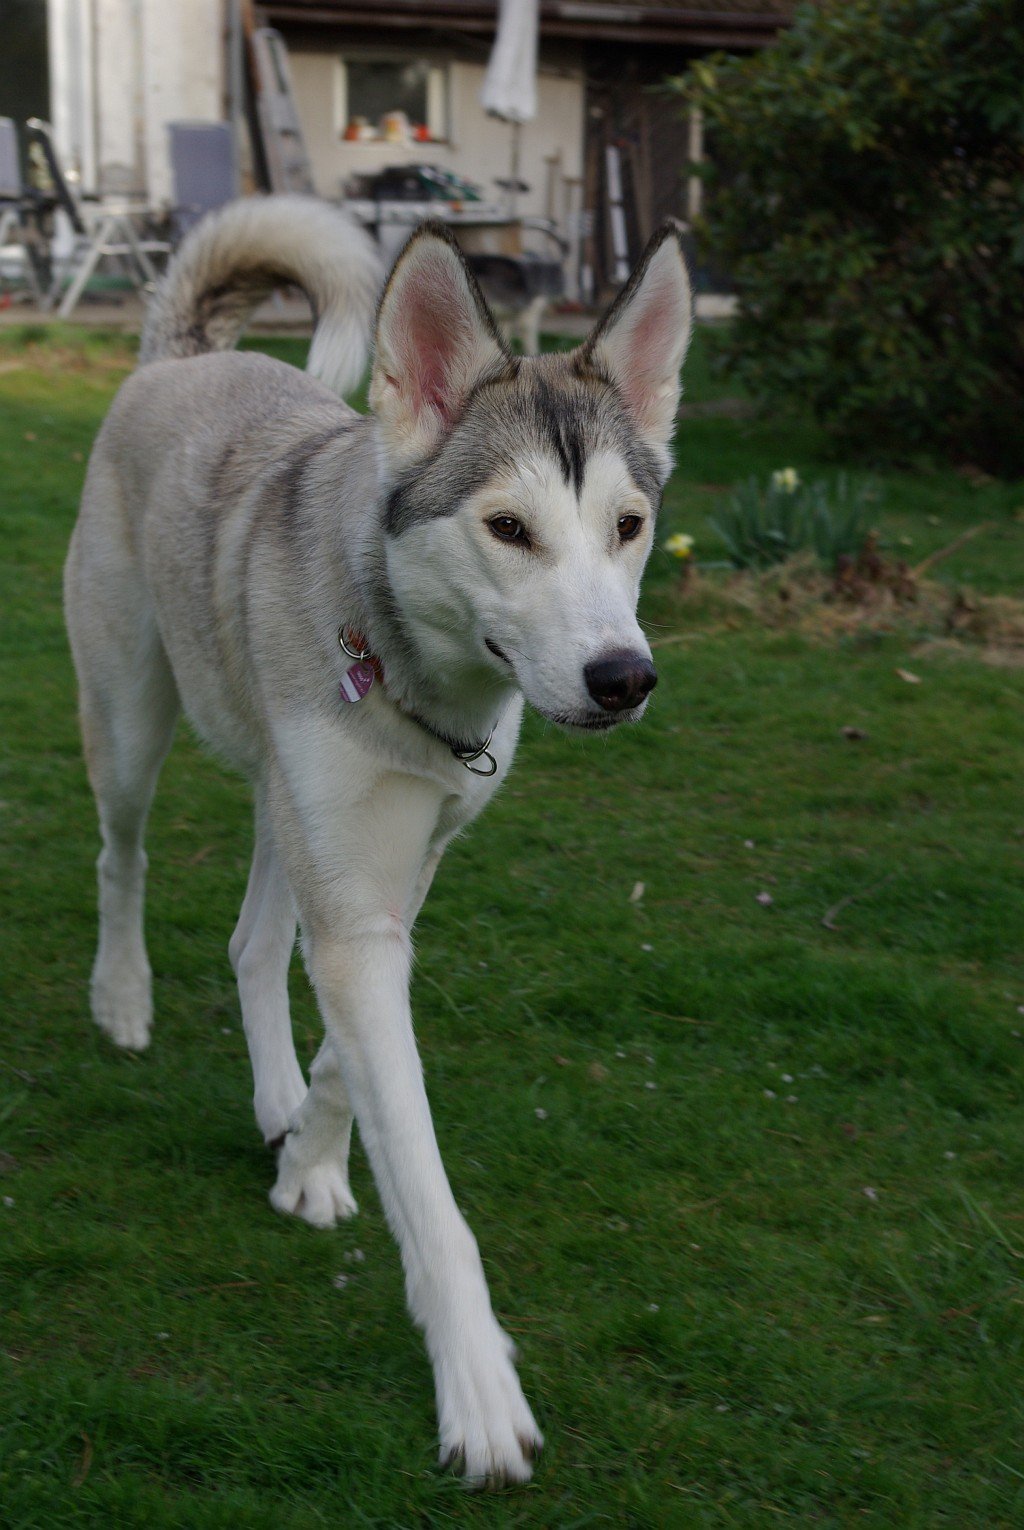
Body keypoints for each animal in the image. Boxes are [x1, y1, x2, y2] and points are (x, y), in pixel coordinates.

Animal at [65, 194, 694, 1481]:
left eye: (629, 525)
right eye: (507, 527)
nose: (624, 678)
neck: (418, 680)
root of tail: (180, 358)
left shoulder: (399, 882)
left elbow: (344, 1066)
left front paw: (305, 1155)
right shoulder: (355, 911)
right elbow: (423, 1176)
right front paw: (478, 1390)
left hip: (281, 799)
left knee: (253, 943)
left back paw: (263, 1096)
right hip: (133, 719)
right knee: (123, 856)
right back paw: (122, 998)